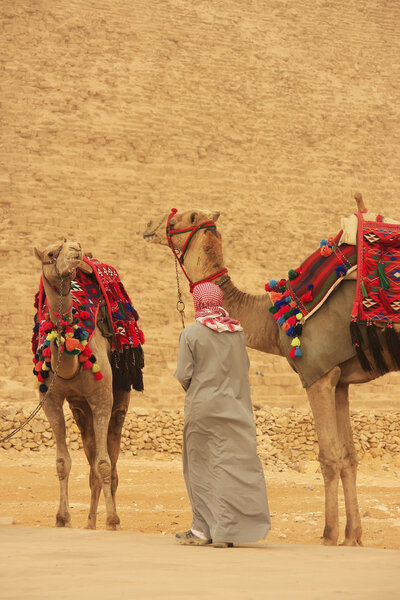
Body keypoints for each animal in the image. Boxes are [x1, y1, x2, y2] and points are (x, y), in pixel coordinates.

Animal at [34, 240, 144, 528]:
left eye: (67, 245)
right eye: (51, 253)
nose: (76, 249)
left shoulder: (102, 398)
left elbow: (104, 464)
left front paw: (113, 520)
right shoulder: (50, 399)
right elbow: (62, 462)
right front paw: (62, 518)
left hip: (120, 396)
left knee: (111, 462)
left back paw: (104, 520)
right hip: (80, 410)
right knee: (92, 460)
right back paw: (90, 522)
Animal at [142, 209, 398, 548]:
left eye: (174, 220)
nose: (147, 226)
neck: (273, 319)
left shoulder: (318, 376)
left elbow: (329, 457)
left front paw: (329, 535)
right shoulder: (340, 381)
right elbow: (349, 457)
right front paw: (352, 536)